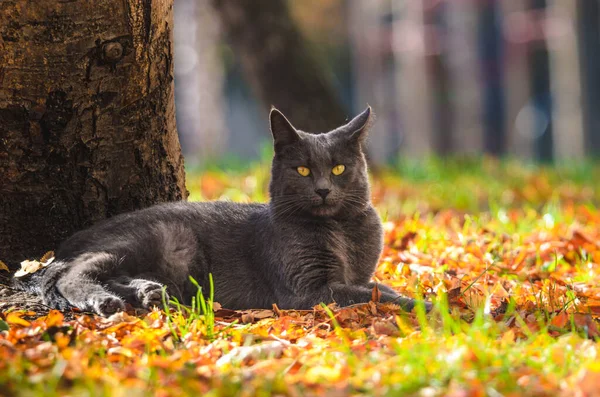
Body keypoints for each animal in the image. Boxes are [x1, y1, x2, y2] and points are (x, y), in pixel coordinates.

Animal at [12, 107, 418, 316]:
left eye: (338, 169)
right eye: (302, 170)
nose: (322, 190)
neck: (339, 231)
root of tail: (68, 243)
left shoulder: (356, 275)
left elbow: (376, 287)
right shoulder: (306, 290)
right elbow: (371, 295)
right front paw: (425, 305)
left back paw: (148, 292)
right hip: (150, 236)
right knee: (74, 274)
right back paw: (103, 299)